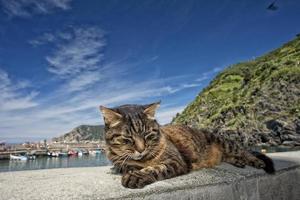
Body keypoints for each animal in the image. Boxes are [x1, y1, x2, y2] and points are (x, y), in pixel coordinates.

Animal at [99, 102, 274, 188]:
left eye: (148, 135)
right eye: (128, 138)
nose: (141, 149)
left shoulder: (176, 161)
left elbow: (156, 168)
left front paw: (137, 175)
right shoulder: (122, 163)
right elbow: (126, 165)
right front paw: (132, 169)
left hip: (227, 143)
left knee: (245, 152)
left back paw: (254, 161)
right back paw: (238, 162)